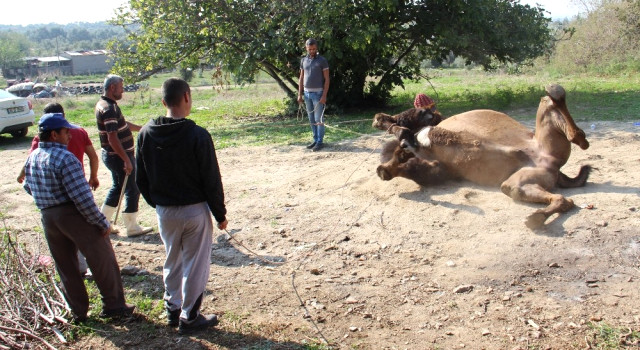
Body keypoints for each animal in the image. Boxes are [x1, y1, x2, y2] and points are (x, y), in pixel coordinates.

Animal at [378, 84, 592, 227]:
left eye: (418, 111)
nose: (427, 111)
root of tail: (554, 167)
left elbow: (434, 136)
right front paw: (392, 162)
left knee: (557, 111)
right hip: (522, 179)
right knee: (561, 199)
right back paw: (536, 218)